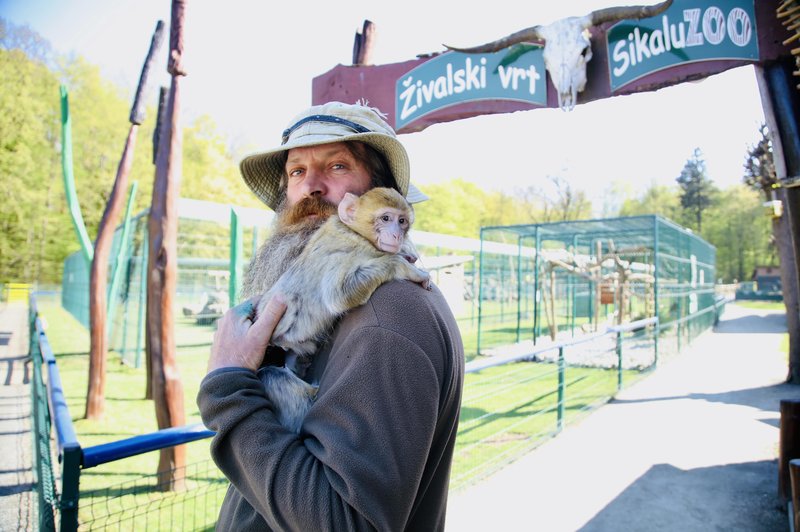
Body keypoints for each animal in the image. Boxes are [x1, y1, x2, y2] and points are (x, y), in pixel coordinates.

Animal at [255, 187, 432, 432]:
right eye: (386, 218)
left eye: (402, 221)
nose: (397, 235)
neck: (353, 231)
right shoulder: (345, 252)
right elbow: (337, 296)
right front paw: (403, 264)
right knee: (270, 375)